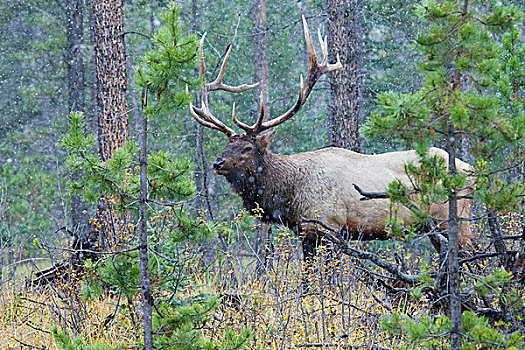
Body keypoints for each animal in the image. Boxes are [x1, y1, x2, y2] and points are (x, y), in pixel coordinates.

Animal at [189, 16, 474, 260]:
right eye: (228, 143)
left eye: (247, 148)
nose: (217, 163)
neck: (290, 197)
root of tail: (470, 169)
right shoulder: (306, 232)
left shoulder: (330, 226)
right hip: (432, 226)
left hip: (454, 218)